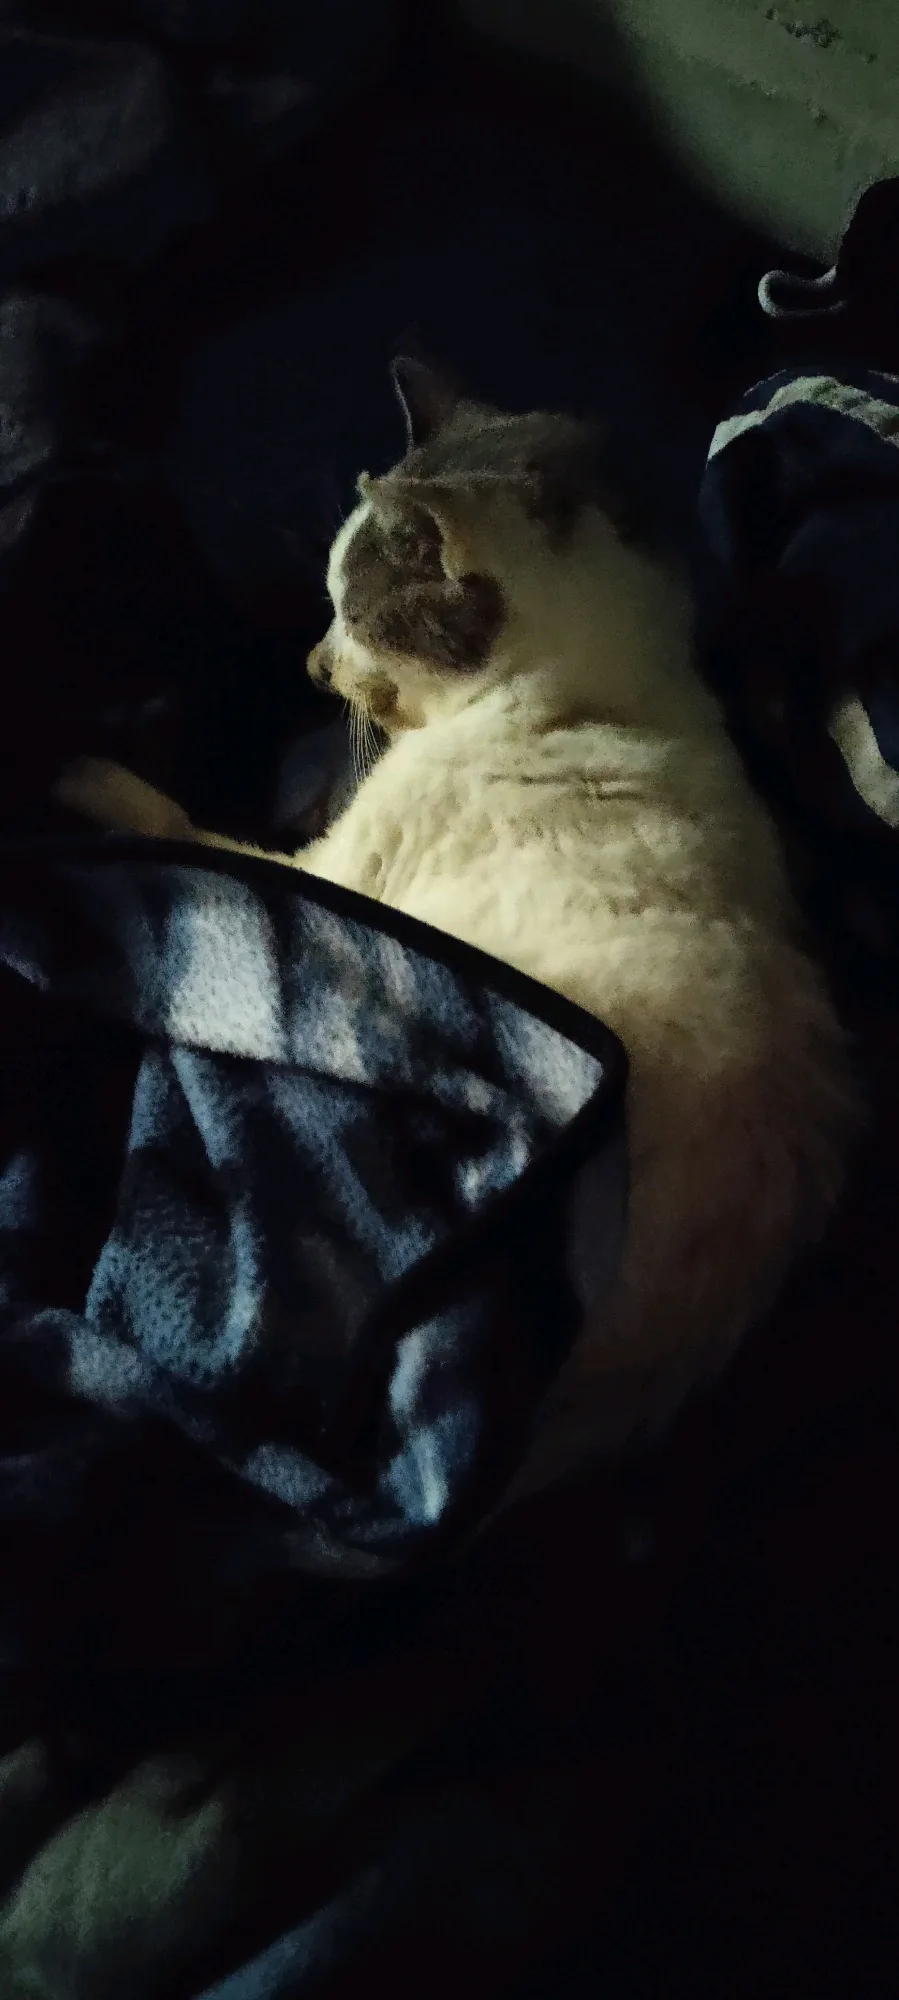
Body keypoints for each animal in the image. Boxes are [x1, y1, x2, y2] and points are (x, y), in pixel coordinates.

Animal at [58, 357, 860, 1500]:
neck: (595, 692)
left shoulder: (337, 872)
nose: (311, 665)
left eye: (352, 610)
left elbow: (196, 840)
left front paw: (88, 785)